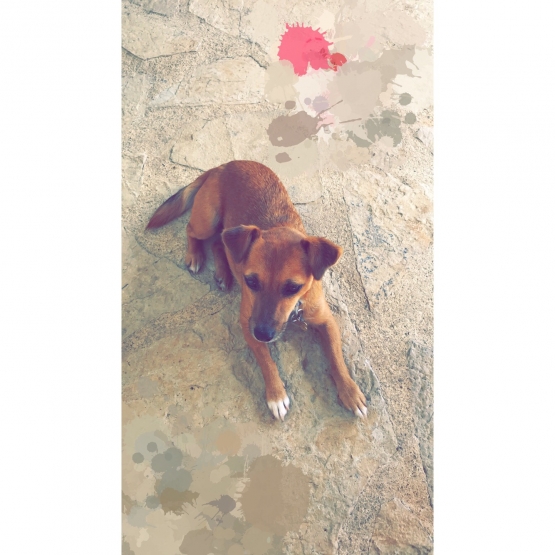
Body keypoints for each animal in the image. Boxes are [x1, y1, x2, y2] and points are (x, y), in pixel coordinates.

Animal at [146, 160, 367, 421]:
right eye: (251, 282)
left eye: (293, 287)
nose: (262, 333)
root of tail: (223, 166)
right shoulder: (247, 323)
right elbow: (265, 359)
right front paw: (276, 395)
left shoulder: (326, 321)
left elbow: (336, 357)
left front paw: (350, 392)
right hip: (207, 220)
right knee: (193, 231)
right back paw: (195, 255)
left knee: (219, 243)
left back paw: (223, 273)